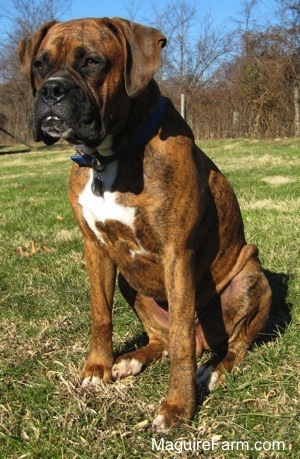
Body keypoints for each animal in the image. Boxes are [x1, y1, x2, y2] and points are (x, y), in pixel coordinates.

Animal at [18, 18, 272, 434]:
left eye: (92, 62)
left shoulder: (177, 254)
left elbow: (182, 342)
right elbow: (100, 314)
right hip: (129, 280)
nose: (52, 89)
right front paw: (98, 368)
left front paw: (178, 406)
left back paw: (214, 370)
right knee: (162, 338)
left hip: (252, 275)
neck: (109, 156)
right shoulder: (95, 248)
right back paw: (131, 360)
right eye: (40, 65)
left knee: (227, 344)